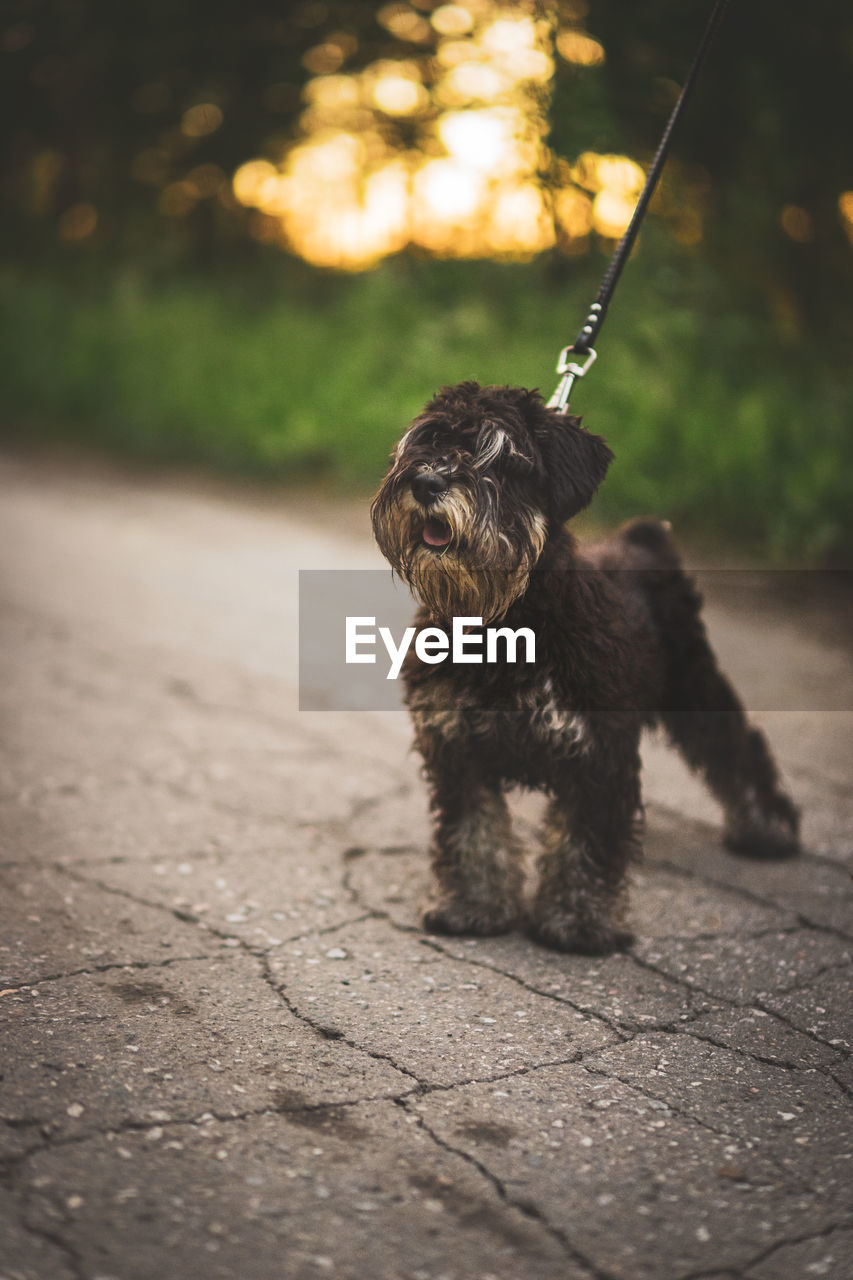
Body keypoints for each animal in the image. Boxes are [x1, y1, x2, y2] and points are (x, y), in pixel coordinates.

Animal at [371, 378, 799, 952]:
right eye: (426, 440)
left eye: (501, 457)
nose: (426, 481)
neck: (507, 621)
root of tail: (646, 540)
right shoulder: (456, 747)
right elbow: (473, 832)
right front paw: (473, 906)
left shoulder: (598, 749)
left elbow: (587, 839)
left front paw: (578, 921)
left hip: (693, 684)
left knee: (735, 745)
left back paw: (767, 828)